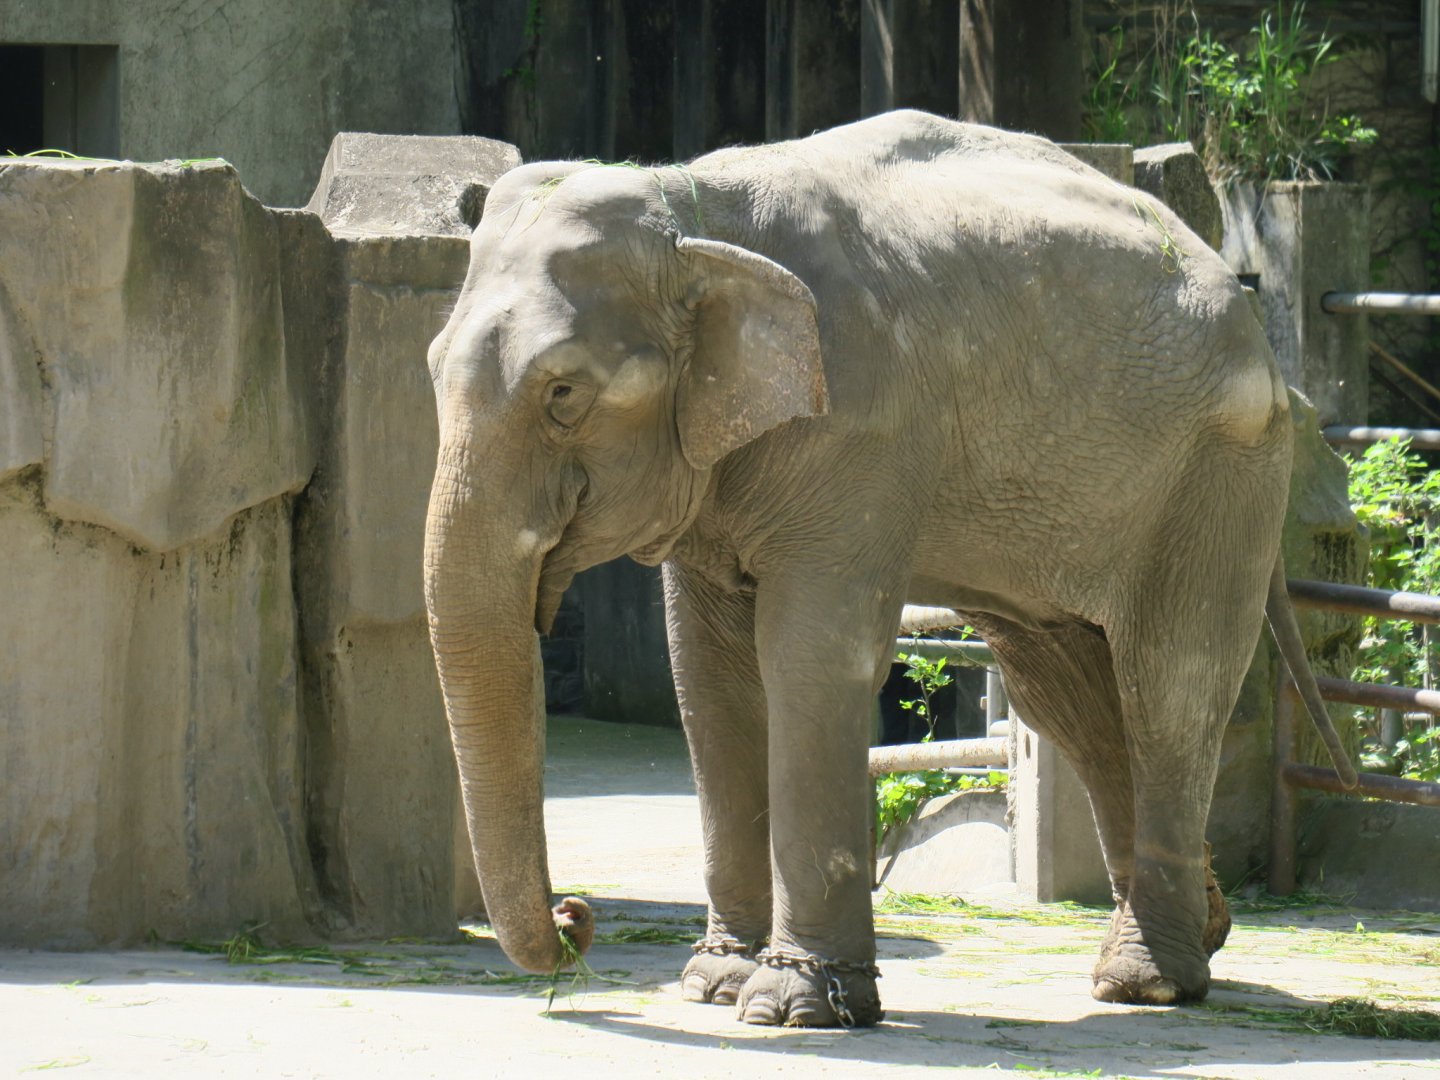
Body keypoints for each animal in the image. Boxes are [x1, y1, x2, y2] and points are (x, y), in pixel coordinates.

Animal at [422, 110, 1354, 1028]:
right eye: (430, 371)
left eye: (563, 394)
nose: (575, 915)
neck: (693, 212)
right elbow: (709, 677)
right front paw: (713, 985)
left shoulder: (862, 422)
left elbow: (811, 656)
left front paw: (794, 1006)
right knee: (1070, 694)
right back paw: (1199, 929)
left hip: (1218, 468)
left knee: (1168, 684)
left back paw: (1146, 982)